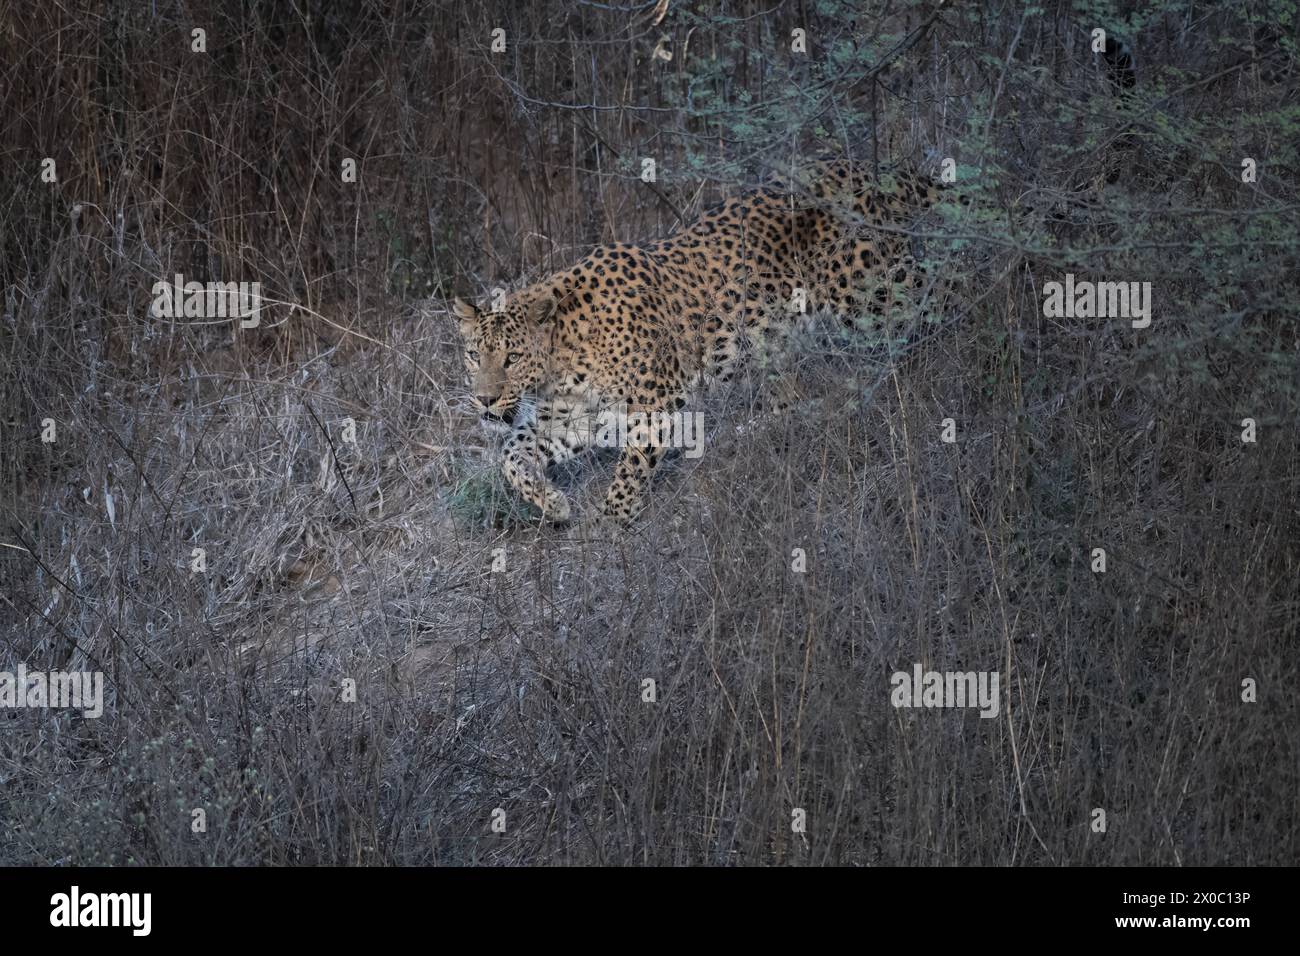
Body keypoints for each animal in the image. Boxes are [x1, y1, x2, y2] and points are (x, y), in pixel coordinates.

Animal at [452, 160, 961, 528]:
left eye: (512, 358)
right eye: (475, 356)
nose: (485, 399)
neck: (563, 362)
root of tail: (871, 169)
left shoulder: (652, 402)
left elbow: (631, 465)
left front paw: (612, 518)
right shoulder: (572, 419)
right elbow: (511, 455)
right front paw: (553, 502)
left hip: (867, 290)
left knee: (940, 292)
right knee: (796, 400)